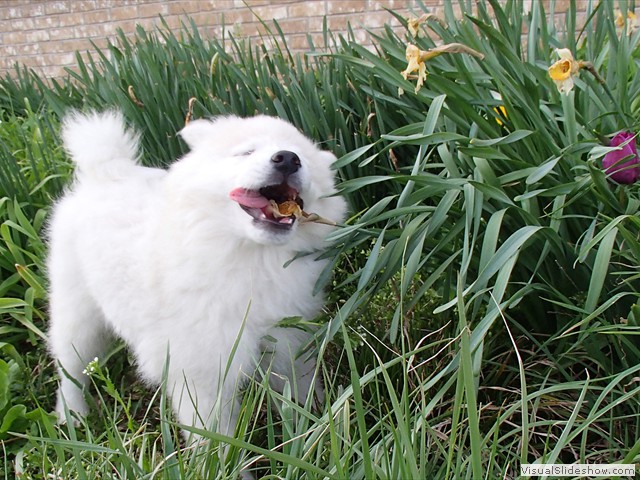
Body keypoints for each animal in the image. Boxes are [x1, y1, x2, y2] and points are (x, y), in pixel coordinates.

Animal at [47, 110, 348, 436]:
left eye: (303, 158)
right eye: (246, 152)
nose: (288, 159)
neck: (249, 258)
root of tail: (104, 171)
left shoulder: (288, 340)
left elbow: (300, 389)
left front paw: (316, 427)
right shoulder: (202, 371)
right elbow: (215, 435)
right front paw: (227, 453)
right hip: (78, 316)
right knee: (71, 369)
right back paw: (73, 415)